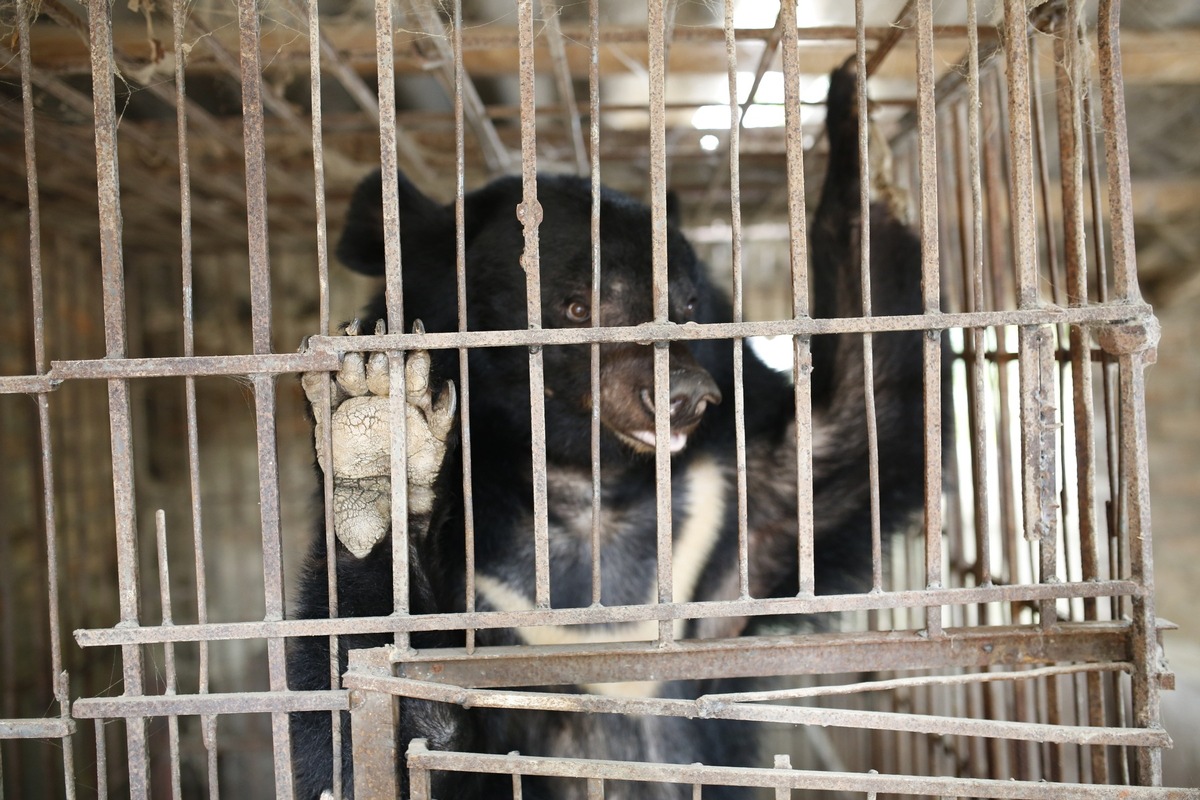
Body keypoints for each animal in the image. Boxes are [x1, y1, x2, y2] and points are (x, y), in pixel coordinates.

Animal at [288, 62, 926, 800]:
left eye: (687, 306)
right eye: (575, 308)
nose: (684, 397)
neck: (587, 483)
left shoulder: (732, 520)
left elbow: (857, 430)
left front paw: (862, 126)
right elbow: (366, 726)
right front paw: (376, 436)